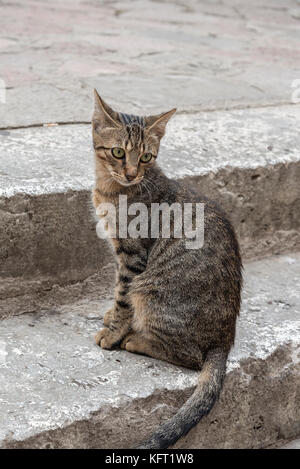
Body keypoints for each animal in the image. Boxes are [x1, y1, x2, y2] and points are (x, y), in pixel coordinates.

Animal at [91, 89, 241, 448]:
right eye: (118, 152)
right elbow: (116, 292)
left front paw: (113, 331)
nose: (132, 173)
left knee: (191, 357)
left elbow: (122, 295)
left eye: (146, 157)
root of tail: (225, 337)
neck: (112, 188)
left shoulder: (132, 257)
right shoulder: (120, 254)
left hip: (150, 293)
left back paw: (136, 340)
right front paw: (110, 316)